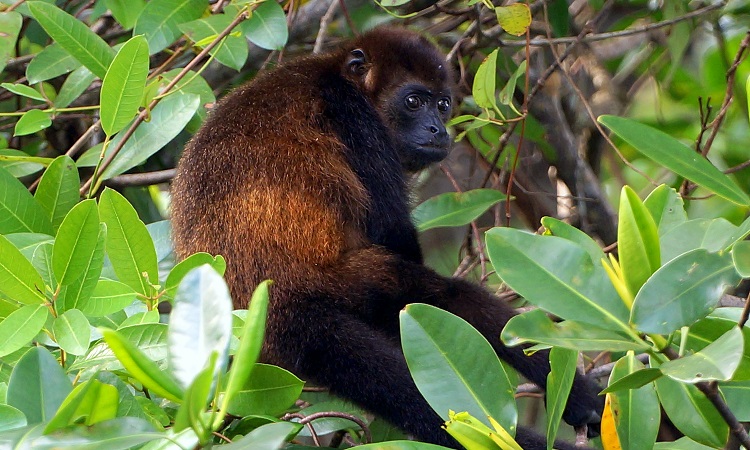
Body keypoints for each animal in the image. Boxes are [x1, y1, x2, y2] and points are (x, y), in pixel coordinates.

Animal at [172, 26, 604, 448]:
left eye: (443, 105)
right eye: (413, 101)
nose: (437, 129)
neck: (342, 73)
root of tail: (274, 305)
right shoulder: (357, 120)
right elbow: (396, 240)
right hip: (340, 284)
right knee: (438, 295)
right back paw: (583, 399)